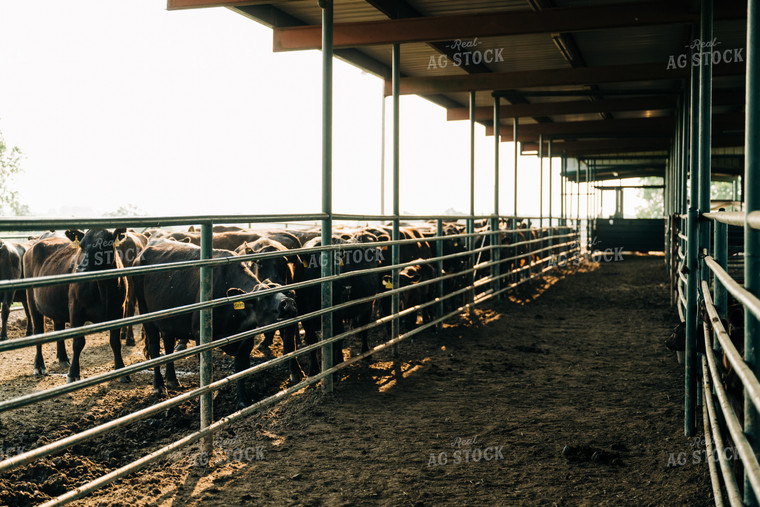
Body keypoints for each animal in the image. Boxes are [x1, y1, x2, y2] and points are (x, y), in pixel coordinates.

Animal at [23, 229, 127, 380]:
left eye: (103, 246)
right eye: (81, 246)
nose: (80, 269)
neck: (103, 288)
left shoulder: (119, 310)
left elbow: (115, 341)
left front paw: (121, 370)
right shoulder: (76, 310)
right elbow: (78, 342)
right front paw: (73, 374)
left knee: (58, 328)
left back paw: (63, 358)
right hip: (32, 302)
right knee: (39, 332)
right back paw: (39, 366)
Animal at [132, 240, 296, 406]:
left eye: (285, 291)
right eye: (263, 297)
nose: (288, 303)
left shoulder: (246, 339)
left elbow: (241, 368)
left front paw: (242, 400)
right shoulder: (200, 336)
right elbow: (207, 370)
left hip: (168, 321)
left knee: (168, 345)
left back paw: (172, 380)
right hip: (146, 316)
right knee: (154, 348)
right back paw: (159, 386)